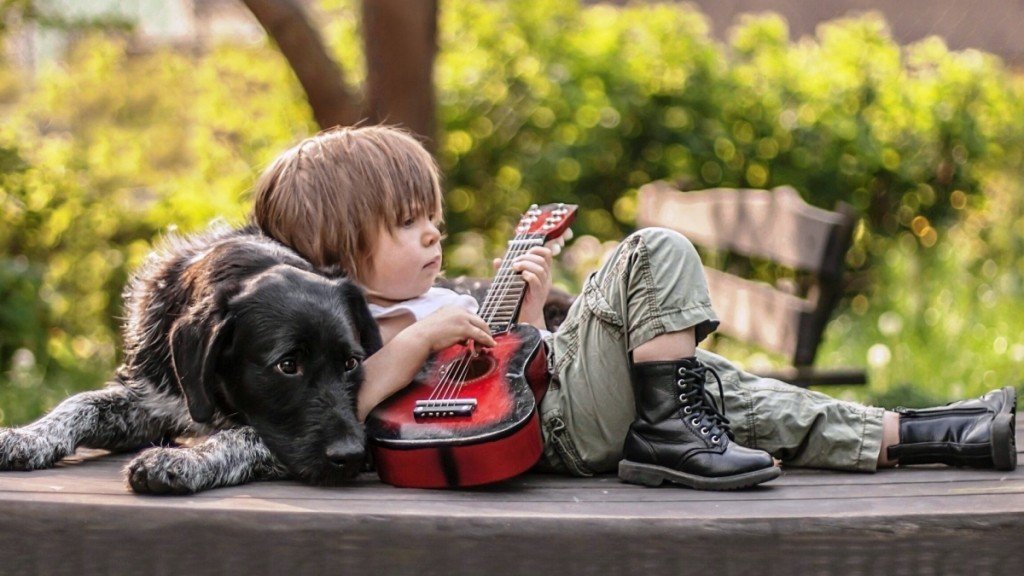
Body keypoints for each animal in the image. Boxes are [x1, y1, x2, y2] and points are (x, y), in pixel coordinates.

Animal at [0, 222, 380, 491]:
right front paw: (30, 437)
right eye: (288, 365)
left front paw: (182, 460)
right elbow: (82, 403)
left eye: (351, 363)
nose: (354, 456)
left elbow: (242, 435)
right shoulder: (151, 403)